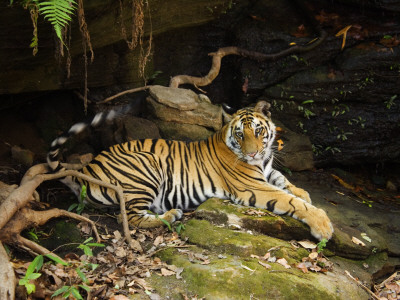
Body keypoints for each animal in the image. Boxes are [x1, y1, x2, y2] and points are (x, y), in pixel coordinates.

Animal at [47, 101, 334, 241]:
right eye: (240, 134)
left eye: (258, 130)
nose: (252, 153)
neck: (260, 162)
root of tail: (87, 166)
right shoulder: (252, 186)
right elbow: (290, 200)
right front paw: (323, 225)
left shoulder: (267, 171)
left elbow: (285, 181)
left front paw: (303, 192)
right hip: (146, 166)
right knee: (127, 217)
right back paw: (172, 215)